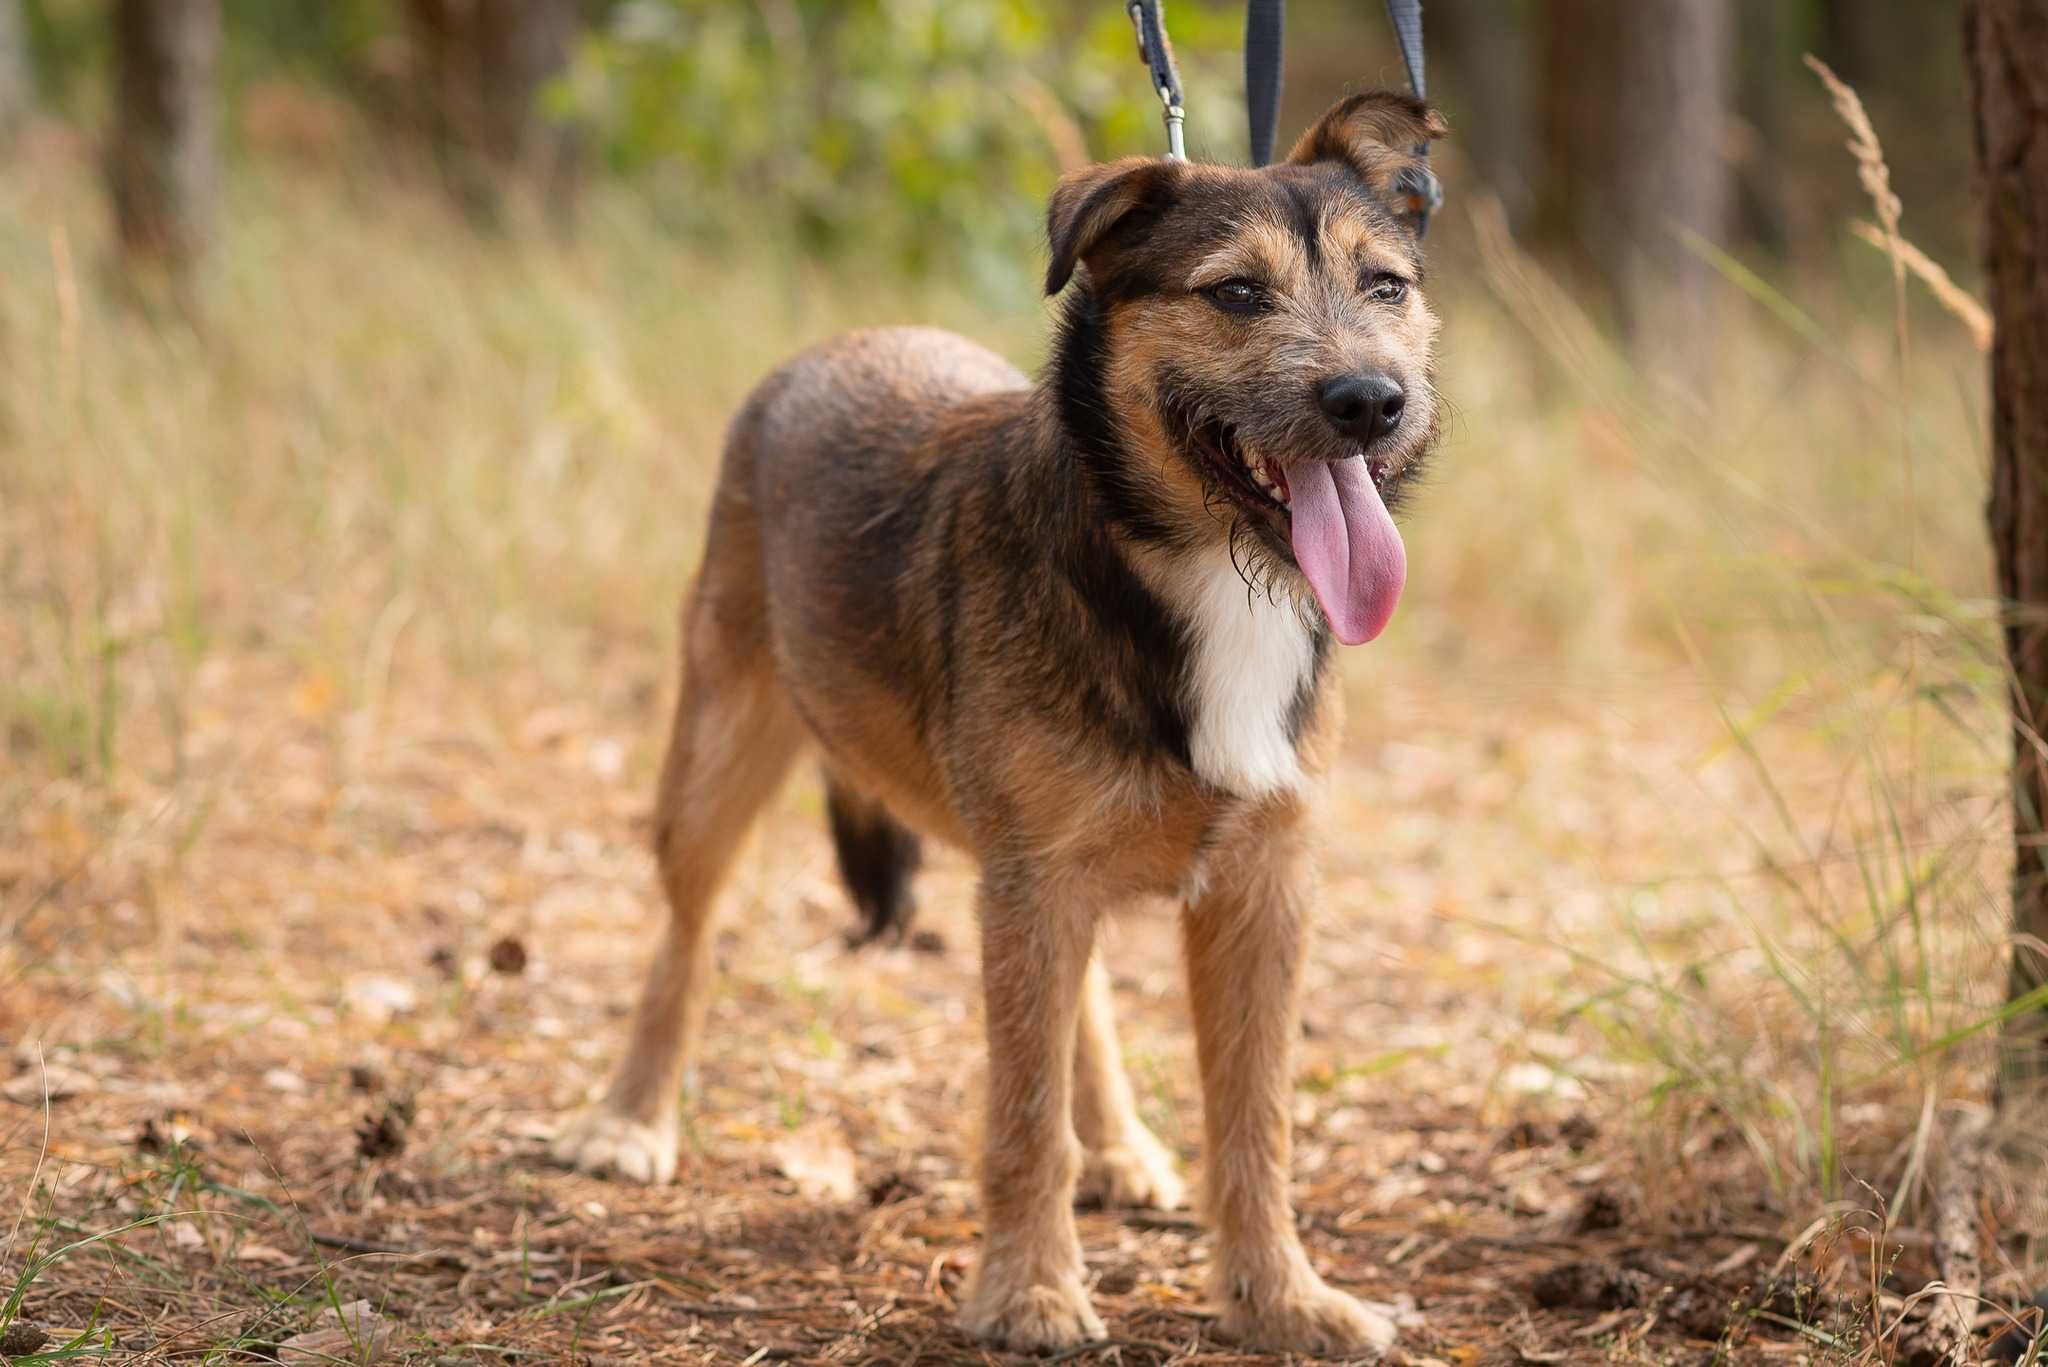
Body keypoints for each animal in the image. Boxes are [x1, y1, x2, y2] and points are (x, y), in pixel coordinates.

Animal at [561, 96, 1449, 1360]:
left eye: (1384, 285)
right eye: (1235, 293)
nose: (1370, 400)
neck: (1188, 573)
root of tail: (842, 340)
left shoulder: (1261, 884)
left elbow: (1256, 1122)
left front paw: (1280, 1297)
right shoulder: (1032, 879)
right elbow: (1023, 1113)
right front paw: (1029, 1290)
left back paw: (1119, 1143)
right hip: (719, 756)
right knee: (685, 937)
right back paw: (631, 1117)